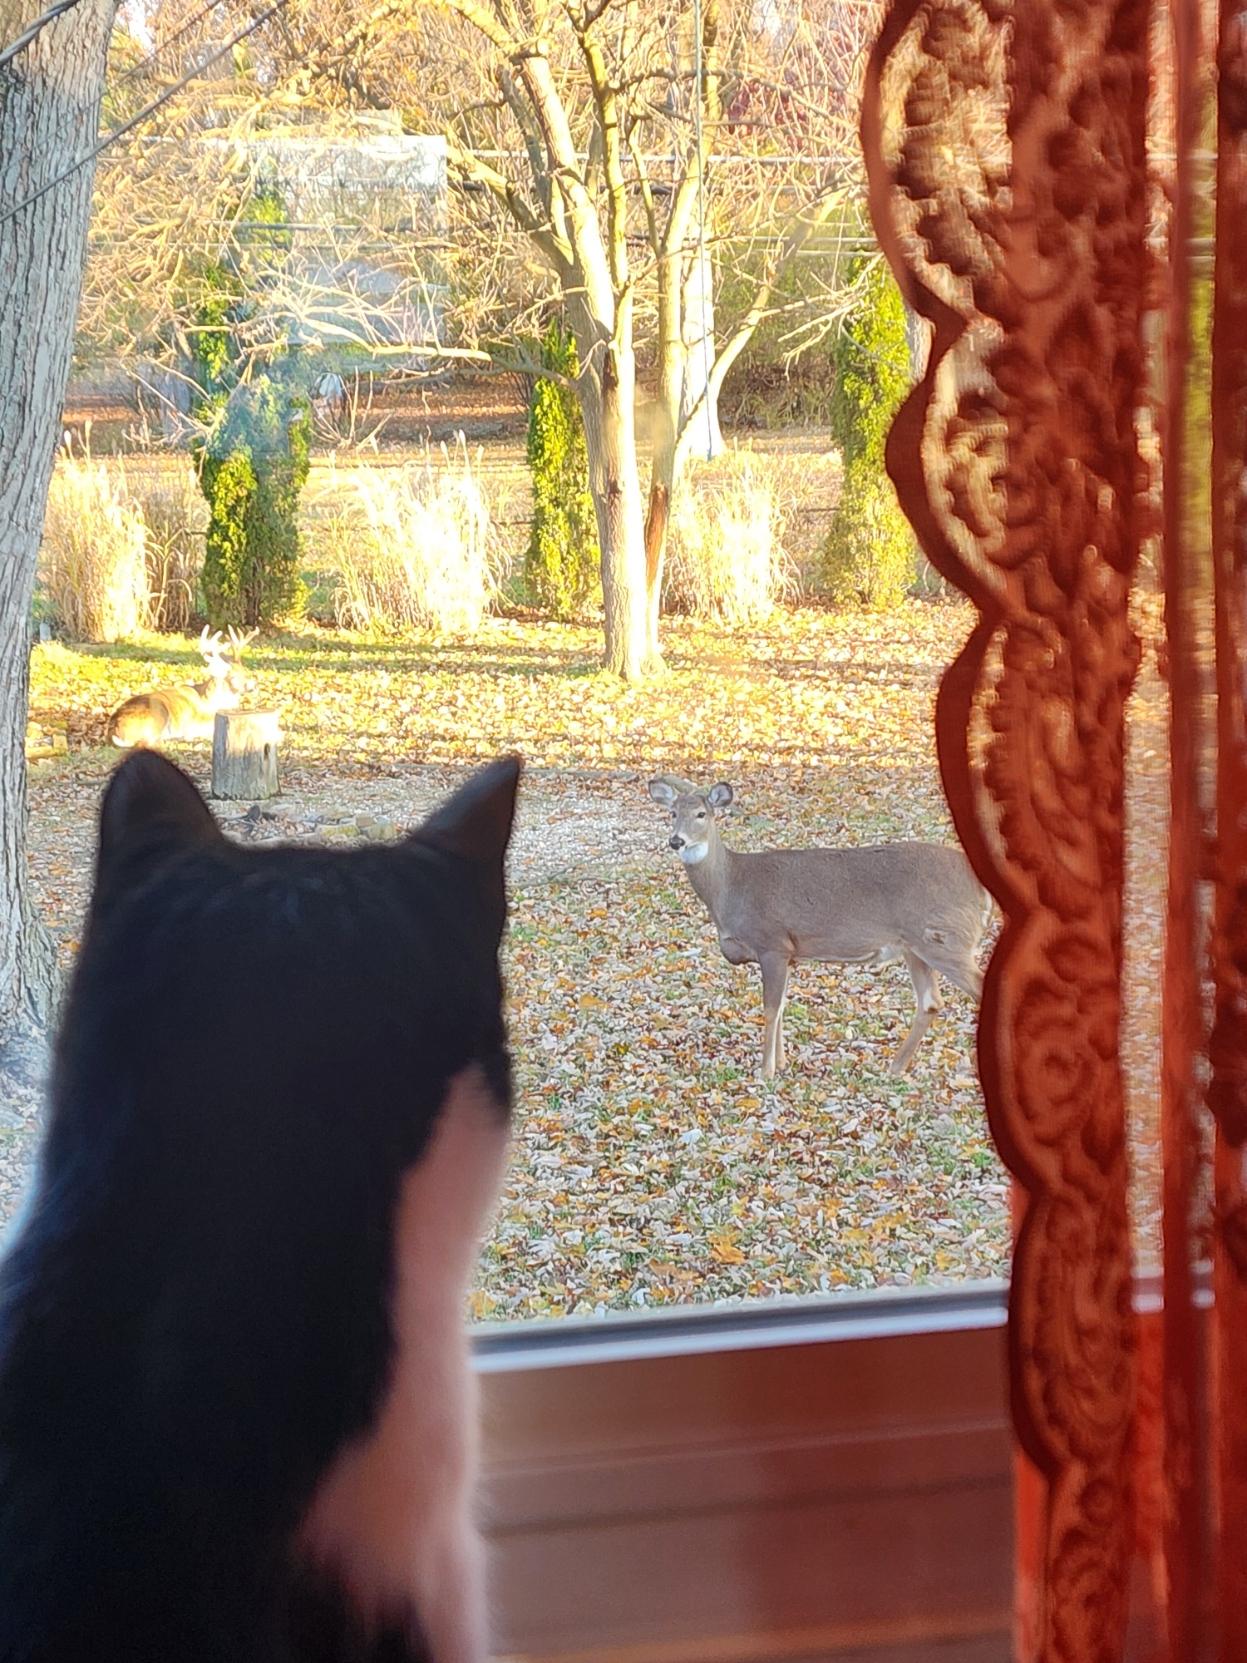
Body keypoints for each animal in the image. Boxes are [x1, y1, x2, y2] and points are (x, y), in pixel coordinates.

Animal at [106, 627, 257, 749]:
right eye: (233, 676)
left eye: (245, 671)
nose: (252, 685)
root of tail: (115, 728)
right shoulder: (197, 723)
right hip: (158, 714)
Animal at [647, 776, 991, 1080]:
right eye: (672, 813)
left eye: (701, 814)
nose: (676, 840)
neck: (731, 887)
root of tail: (979, 888)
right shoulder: (790, 954)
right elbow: (782, 1007)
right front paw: (781, 1063)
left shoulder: (773, 943)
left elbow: (770, 1008)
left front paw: (765, 1071)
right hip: (917, 946)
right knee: (931, 1001)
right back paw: (895, 1067)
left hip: (945, 937)